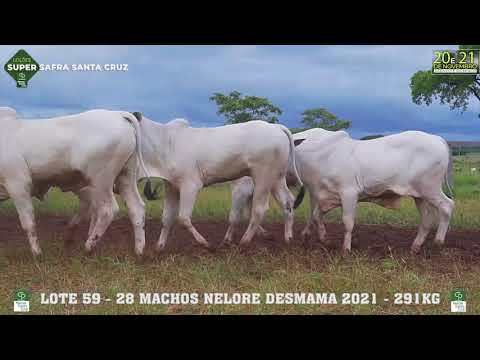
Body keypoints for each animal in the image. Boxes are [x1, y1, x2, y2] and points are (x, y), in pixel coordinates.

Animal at [0, 107, 149, 256]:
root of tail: (118, 114)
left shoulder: (17, 183)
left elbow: (28, 221)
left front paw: (37, 252)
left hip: (101, 181)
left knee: (107, 210)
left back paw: (88, 247)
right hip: (125, 176)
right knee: (136, 208)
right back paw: (139, 252)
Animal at [137, 116, 306, 252]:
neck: (166, 142)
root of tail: (276, 127)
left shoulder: (191, 186)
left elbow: (183, 218)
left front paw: (206, 243)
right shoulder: (171, 187)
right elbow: (167, 218)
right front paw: (159, 247)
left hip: (263, 177)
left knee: (259, 209)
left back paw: (244, 242)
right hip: (277, 178)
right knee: (287, 202)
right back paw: (288, 239)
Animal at [228, 128, 454, 255]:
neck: (317, 157)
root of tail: (439, 139)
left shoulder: (349, 193)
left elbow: (347, 222)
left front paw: (346, 249)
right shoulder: (322, 195)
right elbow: (316, 216)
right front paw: (322, 239)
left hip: (431, 189)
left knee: (447, 206)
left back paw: (439, 242)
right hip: (419, 195)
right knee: (427, 219)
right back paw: (415, 246)